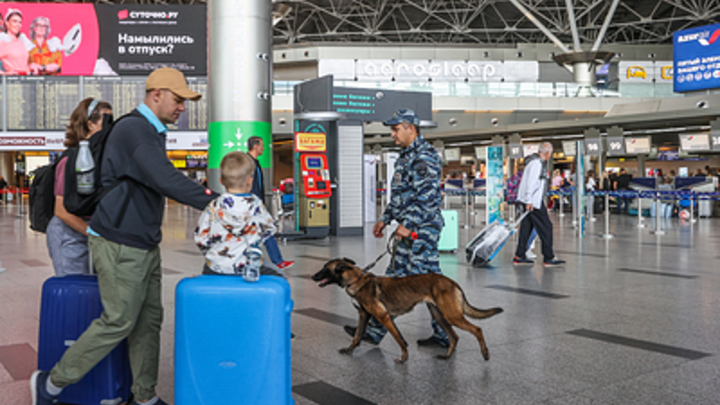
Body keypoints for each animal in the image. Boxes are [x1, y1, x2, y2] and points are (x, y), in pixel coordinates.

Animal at [312, 258, 504, 362]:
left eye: (325, 268)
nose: (313, 276)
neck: (356, 279)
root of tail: (452, 282)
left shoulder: (383, 316)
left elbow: (399, 340)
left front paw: (404, 358)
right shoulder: (364, 315)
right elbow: (357, 336)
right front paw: (349, 350)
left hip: (452, 315)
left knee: (477, 329)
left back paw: (485, 353)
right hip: (440, 316)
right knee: (454, 337)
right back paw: (447, 356)